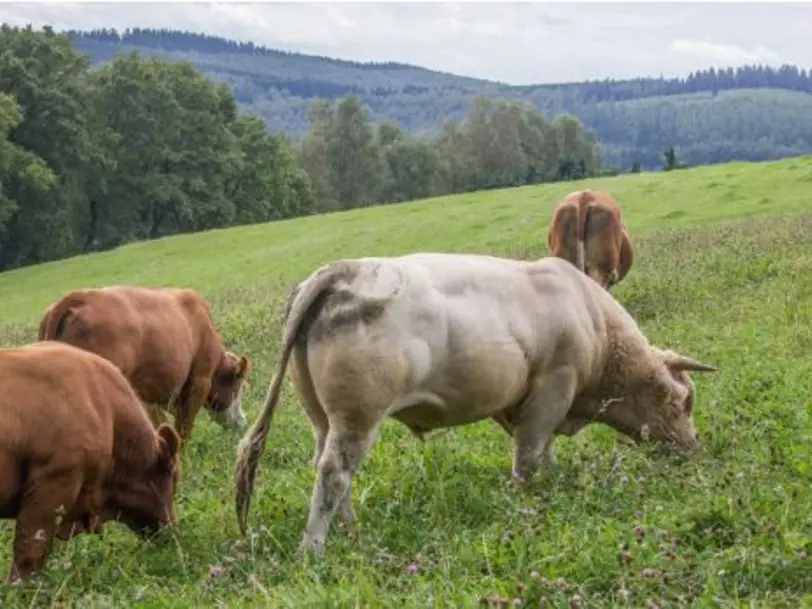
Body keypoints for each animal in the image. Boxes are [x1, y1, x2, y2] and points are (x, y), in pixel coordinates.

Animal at [37, 284, 251, 446]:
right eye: (239, 386)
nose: (243, 421)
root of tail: (80, 297)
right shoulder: (200, 381)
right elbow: (183, 427)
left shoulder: (149, 395)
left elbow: (161, 424)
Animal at [235, 252, 716, 552]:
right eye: (680, 401)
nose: (693, 449)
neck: (591, 319)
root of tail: (344, 271)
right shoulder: (553, 386)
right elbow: (528, 455)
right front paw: (531, 501)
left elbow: (543, 452)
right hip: (359, 417)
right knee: (335, 474)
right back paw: (314, 549)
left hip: (324, 418)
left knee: (332, 472)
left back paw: (352, 535)